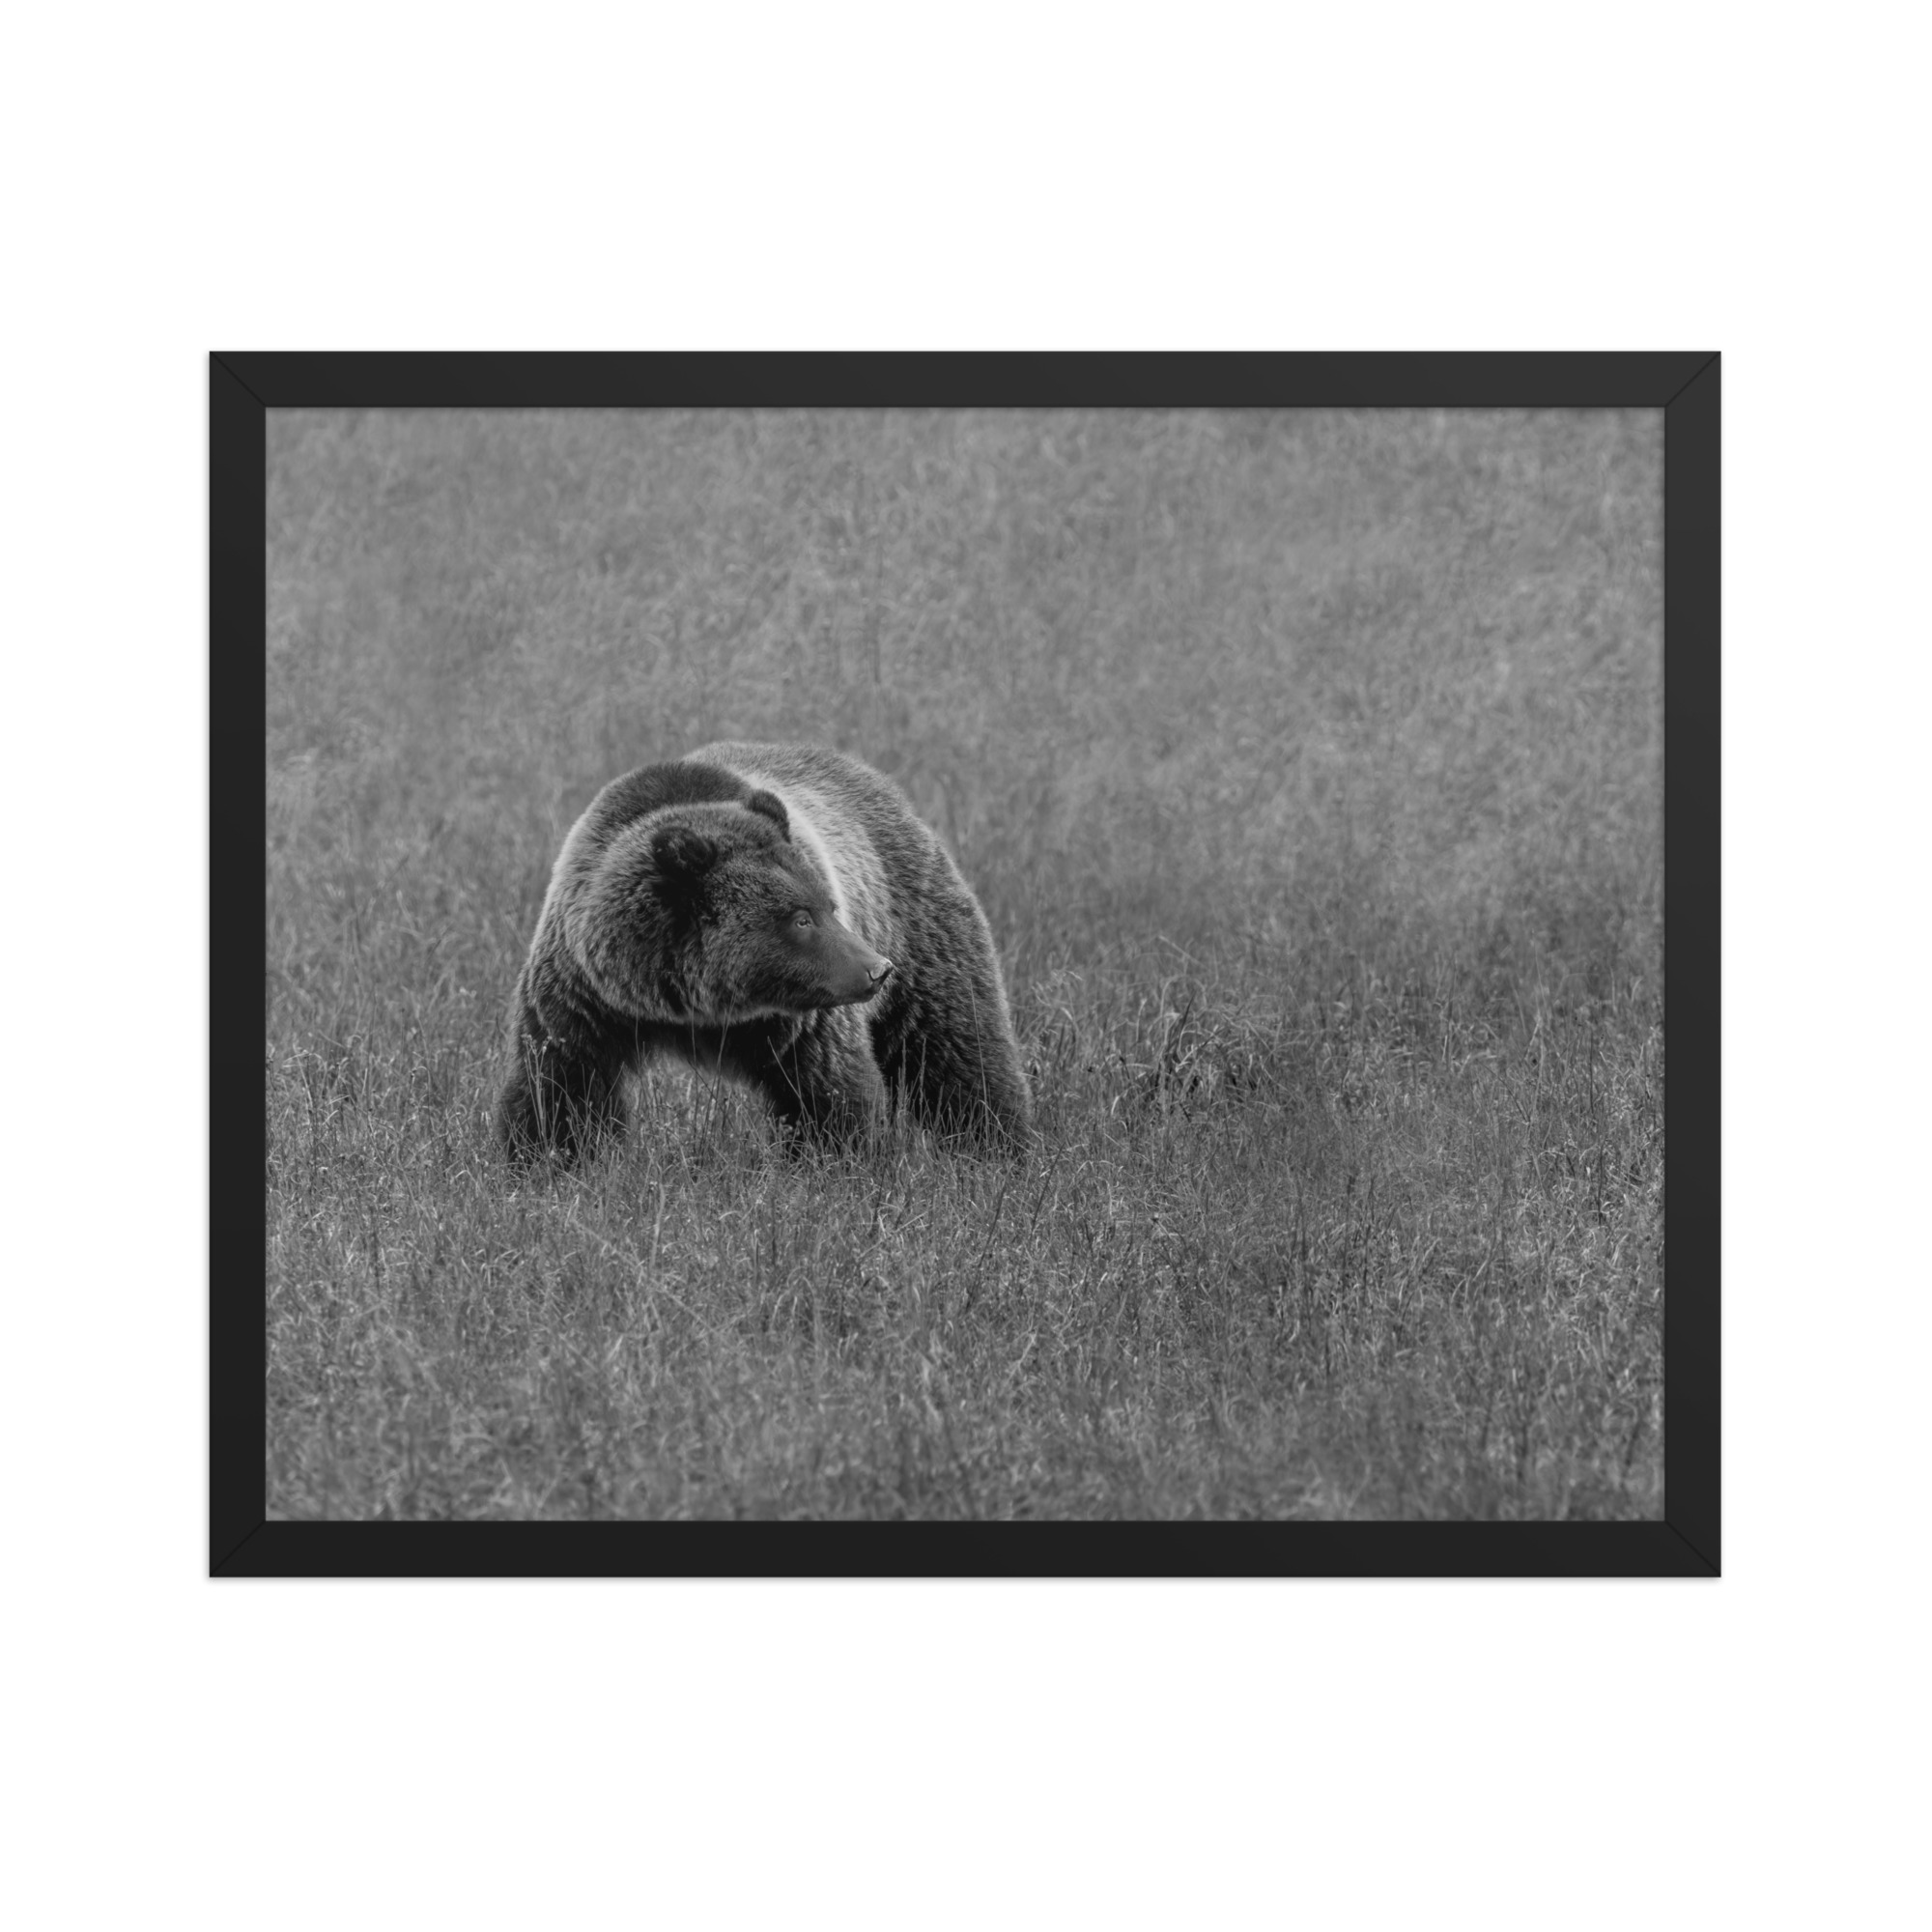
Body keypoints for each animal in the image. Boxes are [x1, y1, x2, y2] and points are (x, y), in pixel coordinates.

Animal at [495, 742, 1032, 1164]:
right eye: (801, 918)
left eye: (829, 905)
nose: (876, 970)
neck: (695, 1007)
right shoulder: (586, 997)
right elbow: (561, 1088)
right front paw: (546, 1163)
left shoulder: (802, 1020)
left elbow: (828, 1093)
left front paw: (840, 1165)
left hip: (918, 927)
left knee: (957, 1048)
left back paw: (1000, 1150)